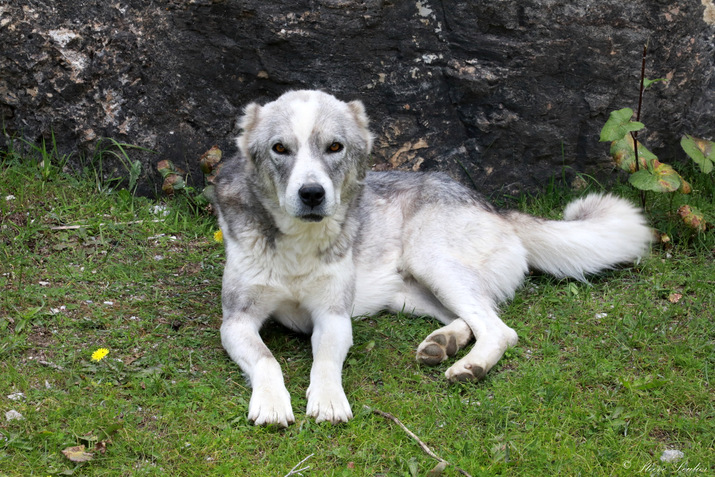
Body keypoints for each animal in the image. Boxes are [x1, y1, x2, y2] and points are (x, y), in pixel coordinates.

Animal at [213, 91, 656, 426]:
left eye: (334, 147)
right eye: (280, 149)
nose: (311, 194)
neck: (299, 243)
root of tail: (495, 208)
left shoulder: (333, 318)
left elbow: (323, 362)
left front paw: (328, 401)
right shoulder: (236, 321)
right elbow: (267, 360)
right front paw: (272, 403)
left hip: (432, 261)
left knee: (500, 329)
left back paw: (469, 366)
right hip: (409, 293)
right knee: (472, 319)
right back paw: (444, 343)